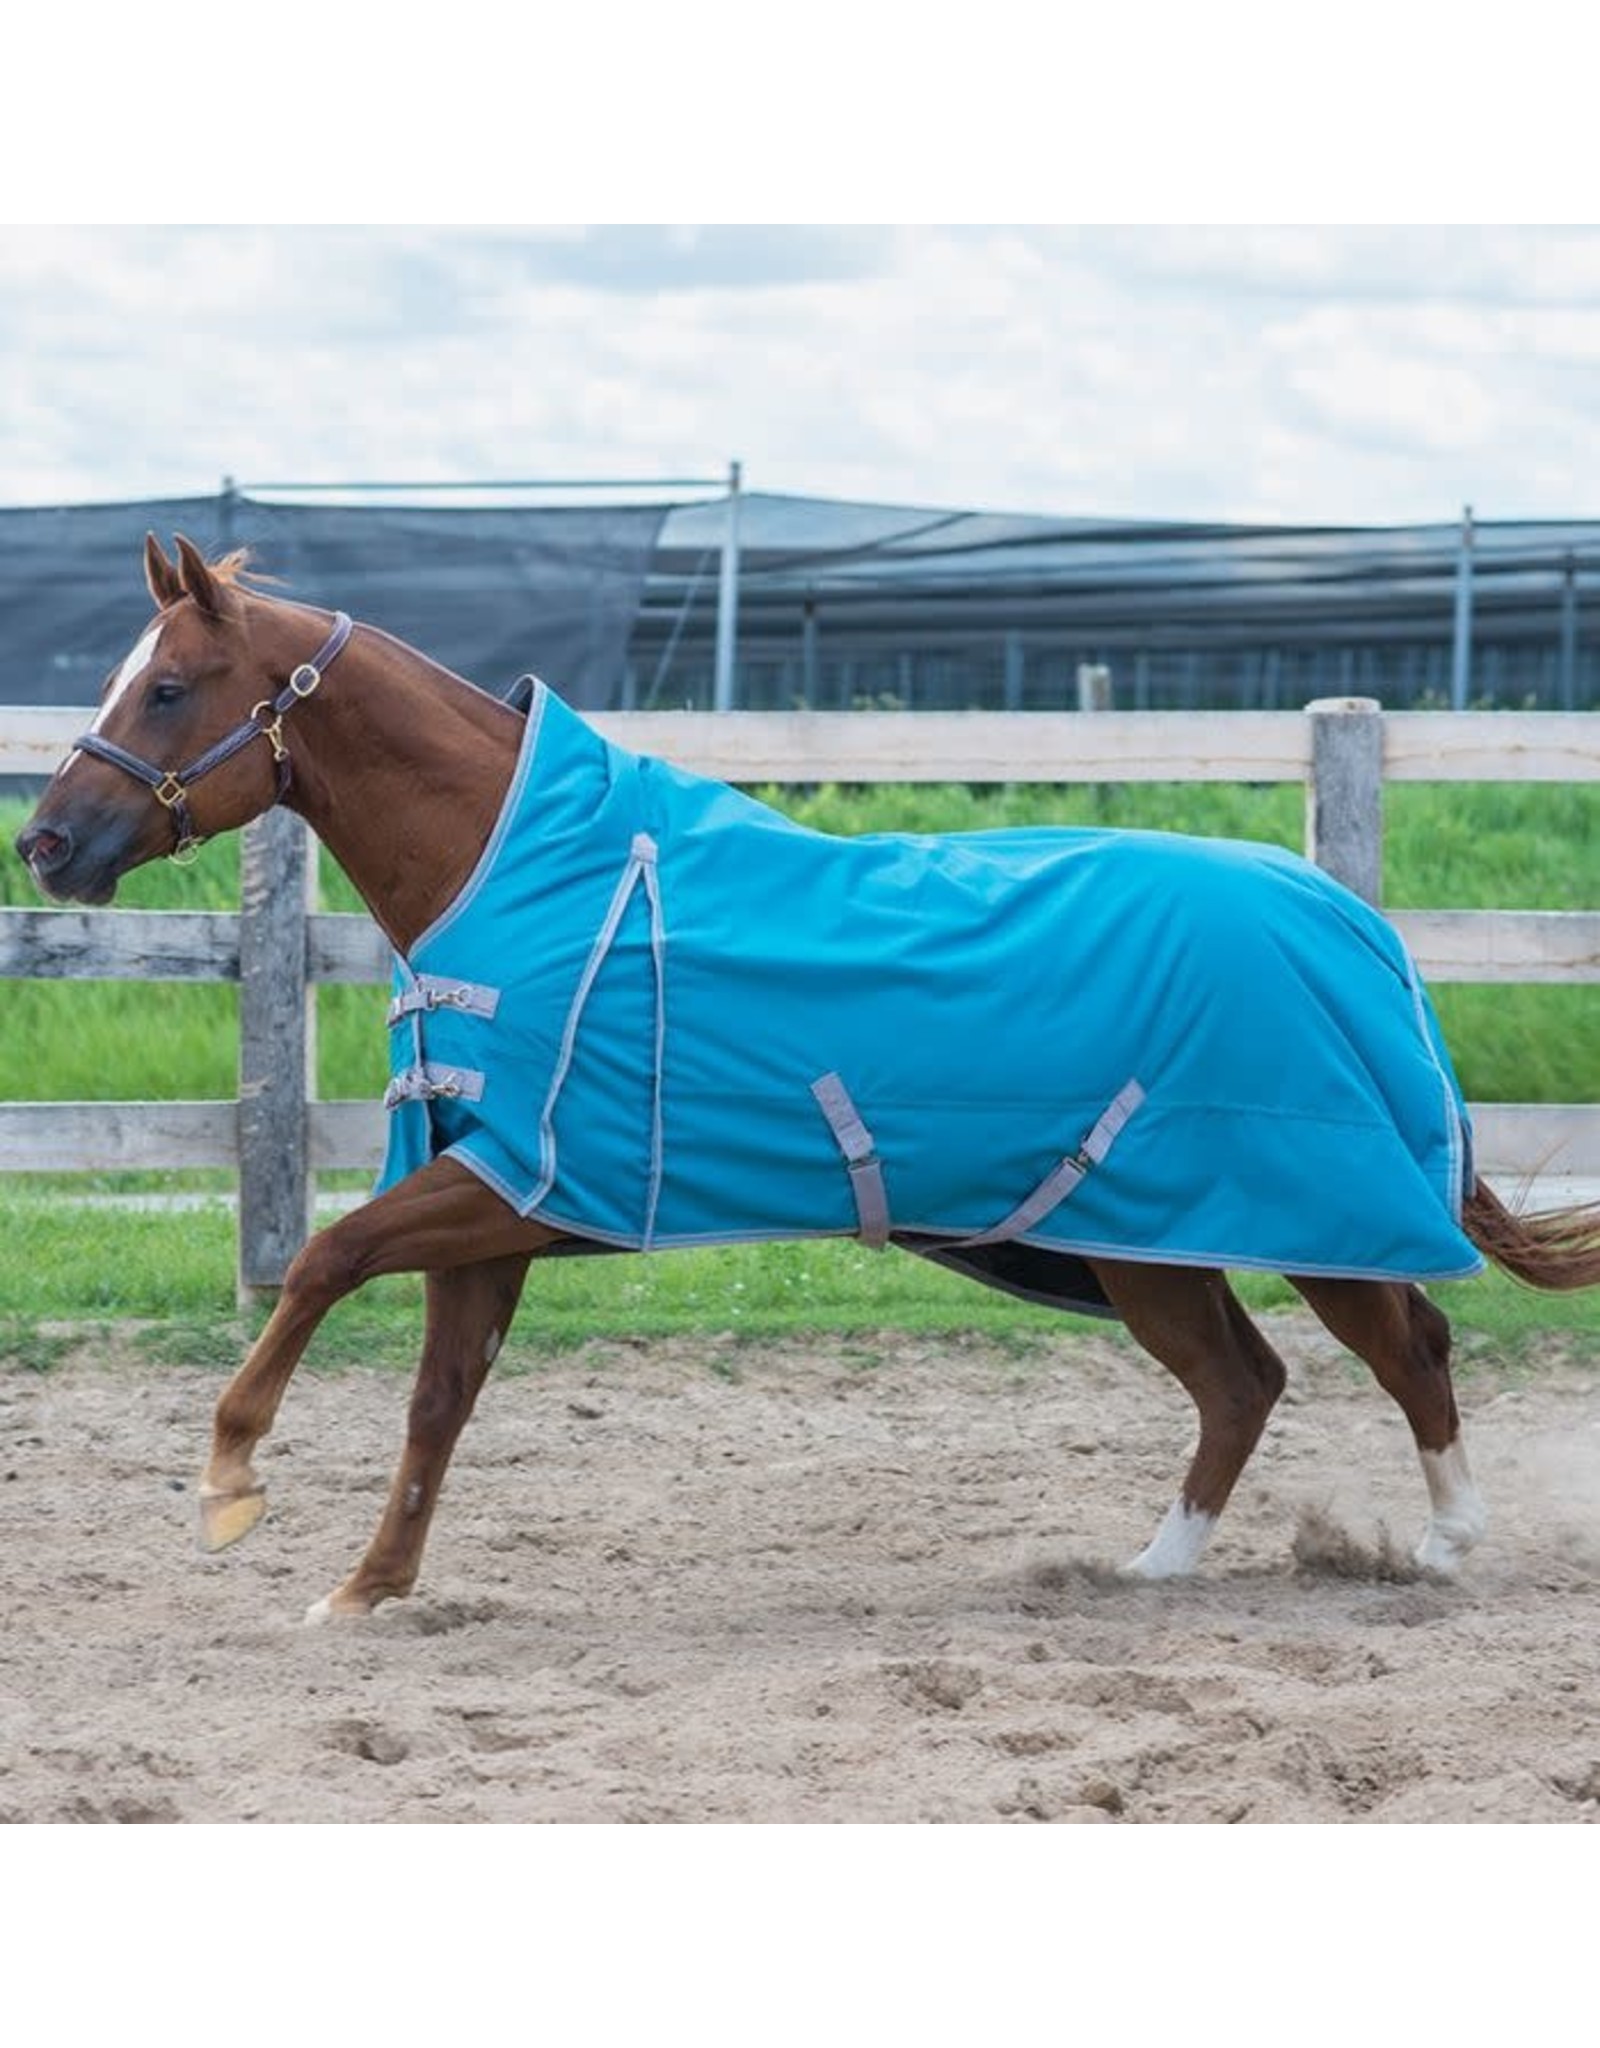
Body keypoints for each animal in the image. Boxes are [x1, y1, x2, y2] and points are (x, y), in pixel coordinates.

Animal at [12, 536, 1597, 1622]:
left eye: (166, 686)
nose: (47, 844)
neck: (518, 865)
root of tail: (1354, 922)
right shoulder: (500, 1207)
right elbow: (435, 1401)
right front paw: (367, 1589)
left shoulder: (510, 1187)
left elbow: (321, 1262)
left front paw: (229, 1484)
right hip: (1141, 1239)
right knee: (1240, 1381)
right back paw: (1154, 1562)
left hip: (1295, 1217)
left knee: (1407, 1349)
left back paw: (1443, 1543)